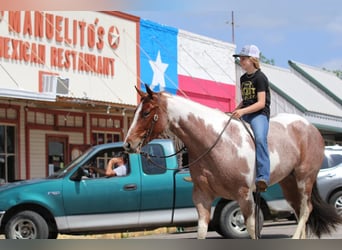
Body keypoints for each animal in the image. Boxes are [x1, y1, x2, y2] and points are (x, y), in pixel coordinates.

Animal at [123, 85, 342, 239]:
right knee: (298, 211)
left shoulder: (244, 195)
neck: (214, 141)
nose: (128, 144)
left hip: (305, 178)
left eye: (146, 113)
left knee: (306, 210)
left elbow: (252, 229)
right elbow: (201, 231)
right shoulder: (201, 196)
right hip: (288, 182)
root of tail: (310, 127)